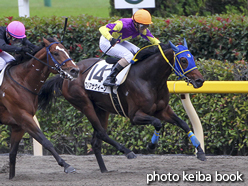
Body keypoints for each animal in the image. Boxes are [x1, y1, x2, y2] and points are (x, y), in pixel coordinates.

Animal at [0, 37, 79, 179]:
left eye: (67, 50)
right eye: (55, 53)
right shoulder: (24, 118)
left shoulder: (19, 125)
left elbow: (12, 154)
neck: (22, 82)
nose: (75, 71)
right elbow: (45, 141)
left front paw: (11, 177)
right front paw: (66, 165)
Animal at [38, 39, 205, 173]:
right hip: (84, 104)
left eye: (192, 58)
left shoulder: (163, 110)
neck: (148, 78)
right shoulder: (135, 116)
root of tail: (67, 75)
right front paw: (151, 145)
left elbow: (183, 123)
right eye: (183, 60)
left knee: (96, 141)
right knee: (101, 133)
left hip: (101, 109)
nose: (200, 81)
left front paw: (200, 151)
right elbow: (157, 123)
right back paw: (127, 152)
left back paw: (104, 170)